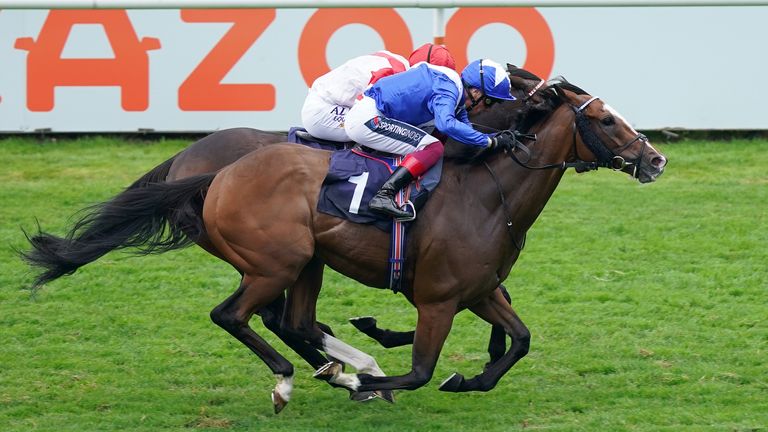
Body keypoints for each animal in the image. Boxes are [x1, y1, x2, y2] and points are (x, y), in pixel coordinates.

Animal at [21, 66, 664, 412]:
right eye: (604, 119)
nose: (654, 158)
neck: (488, 194)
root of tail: (210, 172)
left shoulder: (481, 289)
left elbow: (520, 339)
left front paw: (468, 377)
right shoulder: (437, 298)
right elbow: (421, 368)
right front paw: (369, 378)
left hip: (305, 262)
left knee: (294, 321)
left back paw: (335, 365)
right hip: (275, 264)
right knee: (239, 317)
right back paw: (304, 376)